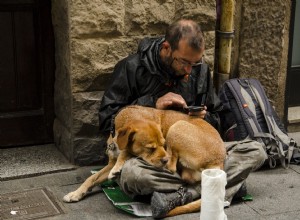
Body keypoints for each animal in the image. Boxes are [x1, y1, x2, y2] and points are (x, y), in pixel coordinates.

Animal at [62, 105, 225, 217]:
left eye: (163, 144)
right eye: (150, 148)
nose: (164, 158)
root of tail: (218, 162)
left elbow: (126, 153)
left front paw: (118, 167)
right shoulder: (109, 164)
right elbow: (92, 178)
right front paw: (76, 193)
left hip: (177, 127)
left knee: (172, 168)